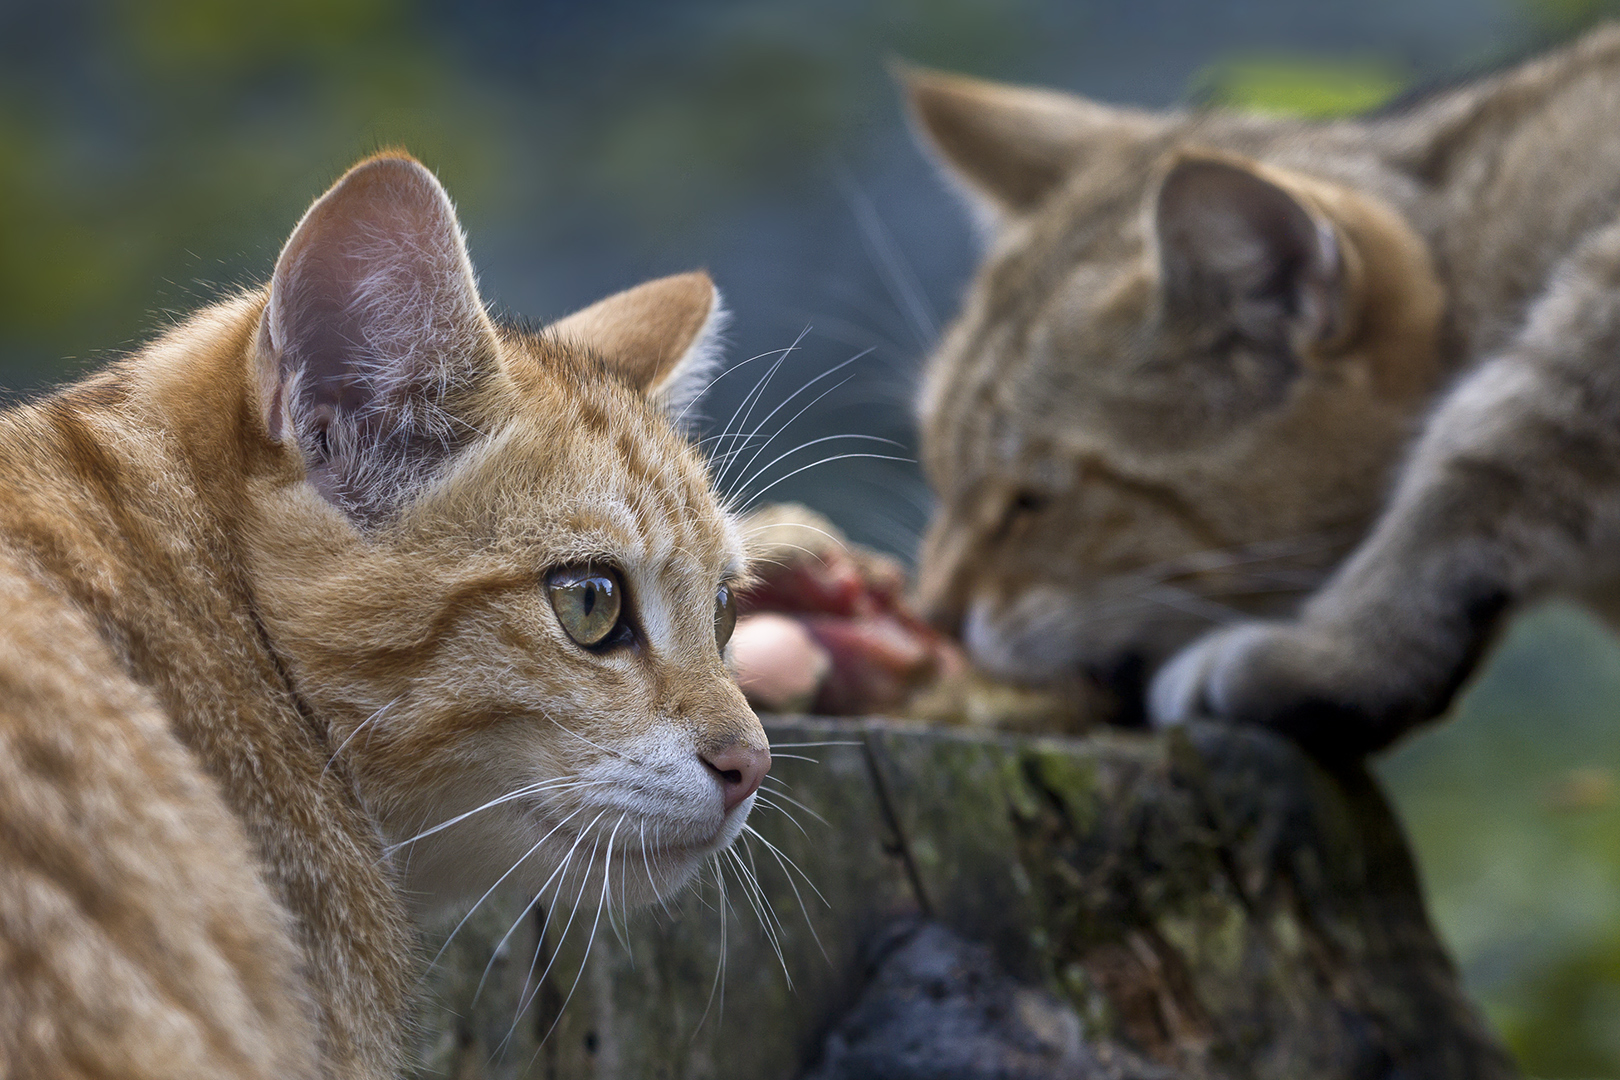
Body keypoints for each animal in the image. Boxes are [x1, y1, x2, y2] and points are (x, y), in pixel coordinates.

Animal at [907, 27, 1620, 751]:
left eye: (1032, 502)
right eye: (940, 476)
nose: (931, 615)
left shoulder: (1590, 323)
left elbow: (1460, 498)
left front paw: (1328, 660)